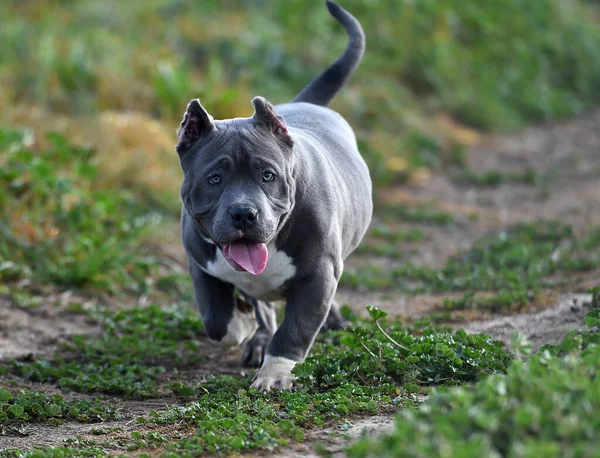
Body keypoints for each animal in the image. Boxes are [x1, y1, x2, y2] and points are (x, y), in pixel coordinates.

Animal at [176, 0, 370, 394]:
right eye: (214, 178)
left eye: (268, 175)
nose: (244, 214)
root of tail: (305, 104)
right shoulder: (199, 264)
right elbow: (216, 319)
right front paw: (241, 324)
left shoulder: (319, 275)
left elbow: (295, 329)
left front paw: (274, 372)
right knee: (260, 305)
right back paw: (257, 332)